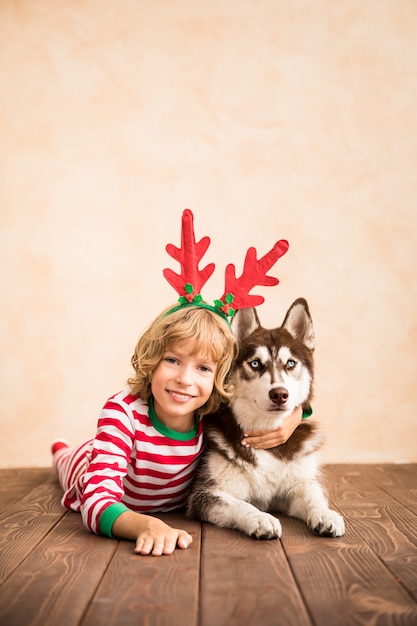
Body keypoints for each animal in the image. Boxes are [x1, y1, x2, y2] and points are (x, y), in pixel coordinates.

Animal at [186, 298, 344, 536]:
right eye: (255, 363)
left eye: (290, 363)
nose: (279, 394)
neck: (266, 434)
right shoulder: (205, 494)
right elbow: (240, 504)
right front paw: (260, 518)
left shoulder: (299, 485)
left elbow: (313, 495)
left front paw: (326, 514)